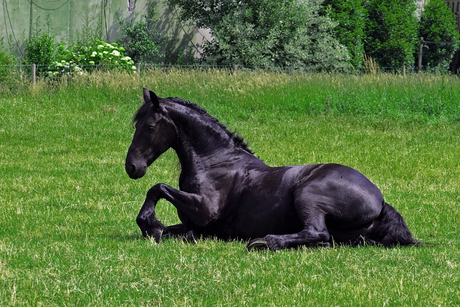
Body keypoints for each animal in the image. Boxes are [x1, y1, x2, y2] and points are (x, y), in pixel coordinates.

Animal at [124, 88, 418, 251]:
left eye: (150, 126)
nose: (132, 167)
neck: (216, 160)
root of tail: (380, 202)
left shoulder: (205, 209)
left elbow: (158, 187)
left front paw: (149, 223)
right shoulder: (193, 221)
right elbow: (175, 227)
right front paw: (156, 227)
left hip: (308, 195)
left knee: (317, 233)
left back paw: (266, 242)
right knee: (324, 240)